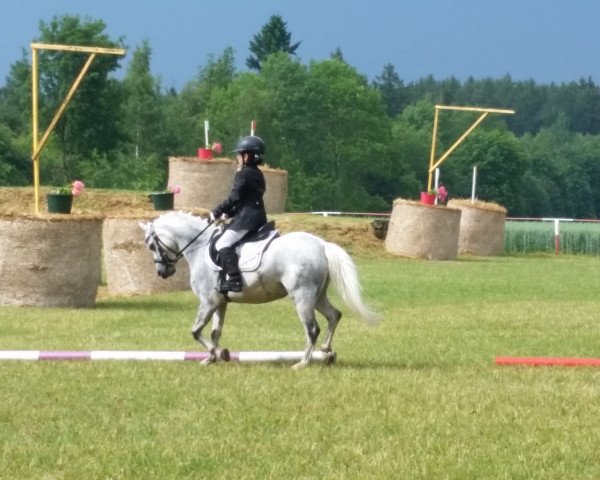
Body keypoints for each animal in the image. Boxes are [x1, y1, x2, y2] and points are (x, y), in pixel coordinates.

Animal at [139, 212, 380, 370]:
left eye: (151, 245)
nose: (163, 272)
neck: (199, 247)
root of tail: (321, 244)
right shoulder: (220, 302)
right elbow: (215, 332)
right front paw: (212, 358)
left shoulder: (208, 301)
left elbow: (196, 331)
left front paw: (219, 354)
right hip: (317, 296)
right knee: (334, 316)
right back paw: (326, 352)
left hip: (302, 296)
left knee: (312, 329)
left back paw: (302, 363)